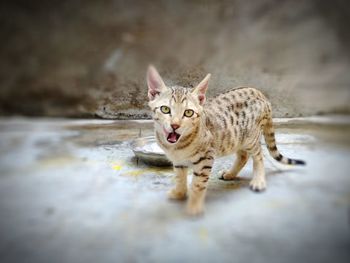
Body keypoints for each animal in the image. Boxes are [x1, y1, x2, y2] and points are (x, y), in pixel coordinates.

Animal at [146, 65, 304, 216]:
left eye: (188, 112)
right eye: (165, 109)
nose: (175, 125)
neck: (177, 147)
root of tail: (259, 92)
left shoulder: (205, 159)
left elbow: (198, 184)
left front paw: (194, 206)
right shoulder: (179, 161)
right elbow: (179, 177)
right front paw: (179, 193)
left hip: (250, 138)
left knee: (258, 156)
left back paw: (258, 180)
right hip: (237, 138)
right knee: (243, 156)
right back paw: (230, 174)